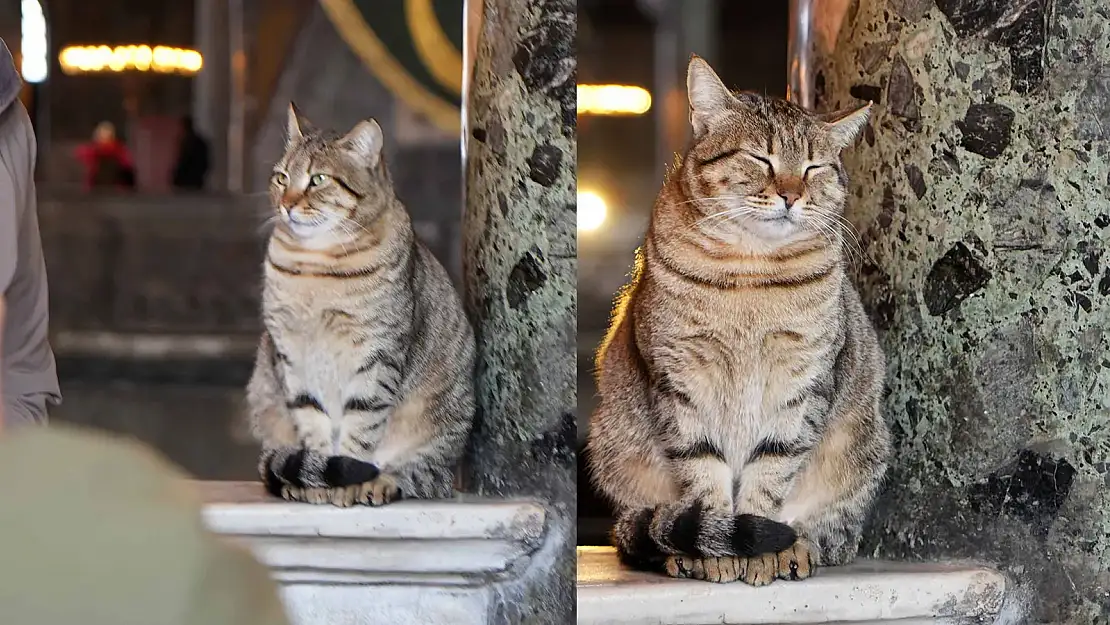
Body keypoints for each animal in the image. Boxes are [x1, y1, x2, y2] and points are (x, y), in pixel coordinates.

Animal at [247, 104, 477, 508]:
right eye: (281, 177)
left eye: (318, 179)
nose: (286, 205)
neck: (315, 266)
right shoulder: (292, 356)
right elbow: (313, 423)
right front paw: (318, 478)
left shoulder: (376, 353)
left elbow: (361, 428)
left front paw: (346, 481)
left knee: (423, 475)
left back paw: (380, 482)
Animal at [590, 58, 892, 586]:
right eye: (761, 159)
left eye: (813, 167)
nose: (791, 194)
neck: (751, 270)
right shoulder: (680, 378)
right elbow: (702, 473)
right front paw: (716, 548)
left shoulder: (802, 382)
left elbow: (771, 471)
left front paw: (760, 549)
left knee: (833, 535)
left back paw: (798, 547)